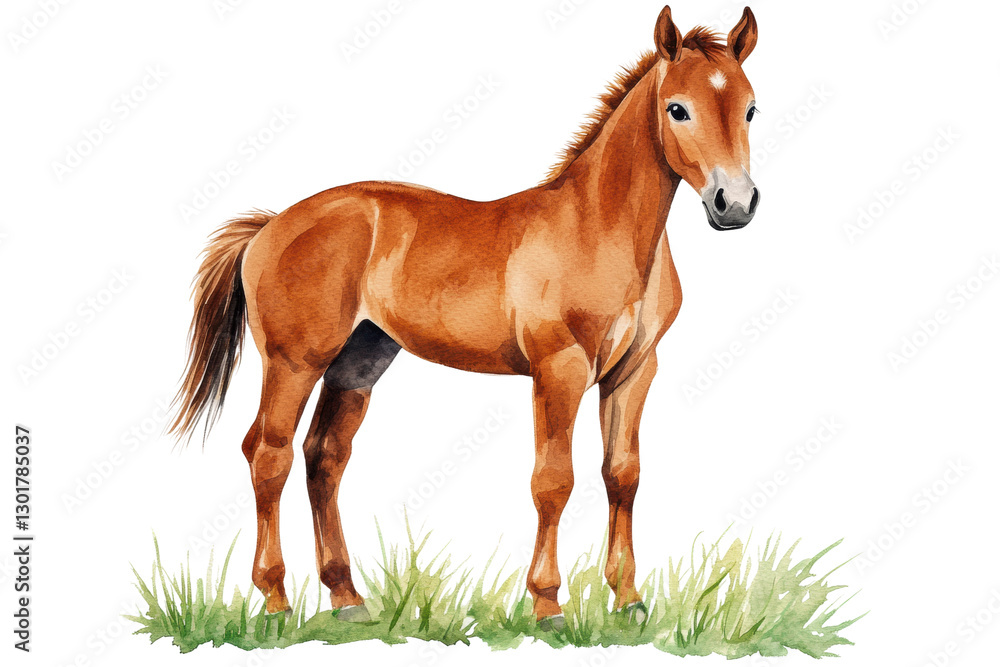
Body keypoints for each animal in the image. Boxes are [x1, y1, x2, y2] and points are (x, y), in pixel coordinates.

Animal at [169, 5, 760, 624]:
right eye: (678, 108)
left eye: (750, 108)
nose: (735, 204)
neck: (598, 227)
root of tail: (270, 225)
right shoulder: (559, 370)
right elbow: (554, 481)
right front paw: (547, 604)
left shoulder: (634, 370)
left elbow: (622, 474)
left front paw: (627, 602)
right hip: (294, 363)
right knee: (269, 455)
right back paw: (277, 600)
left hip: (358, 363)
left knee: (324, 457)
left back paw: (348, 598)